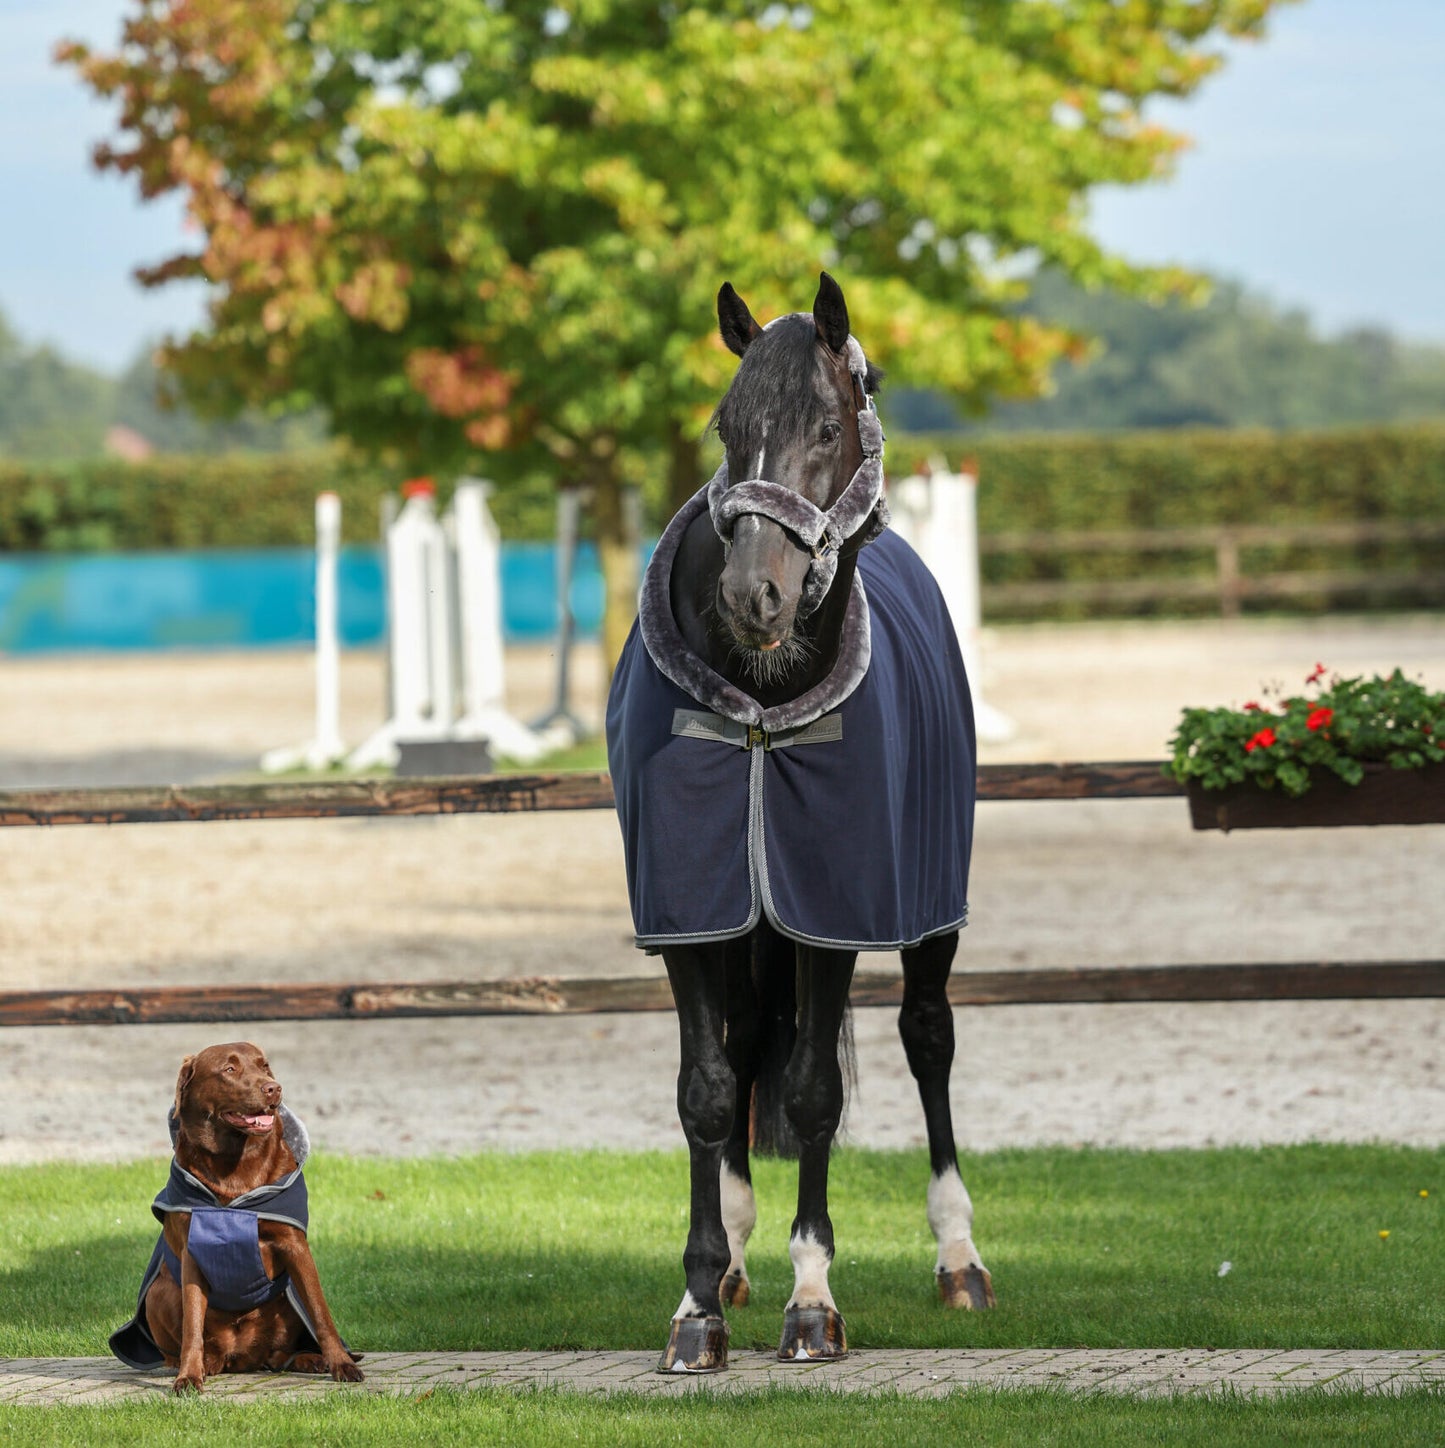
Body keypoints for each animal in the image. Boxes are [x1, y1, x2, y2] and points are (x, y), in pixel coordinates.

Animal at [602, 269, 996, 1366]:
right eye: (725, 426)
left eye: (826, 424)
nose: (754, 595)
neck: (759, 712)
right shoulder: (692, 915)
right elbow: (706, 1089)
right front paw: (697, 1304)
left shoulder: (832, 912)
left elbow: (817, 1089)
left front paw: (812, 1300)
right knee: (743, 1056)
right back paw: (736, 1262)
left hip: (928, 913)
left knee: (927, 1036)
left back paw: (959, 1256)